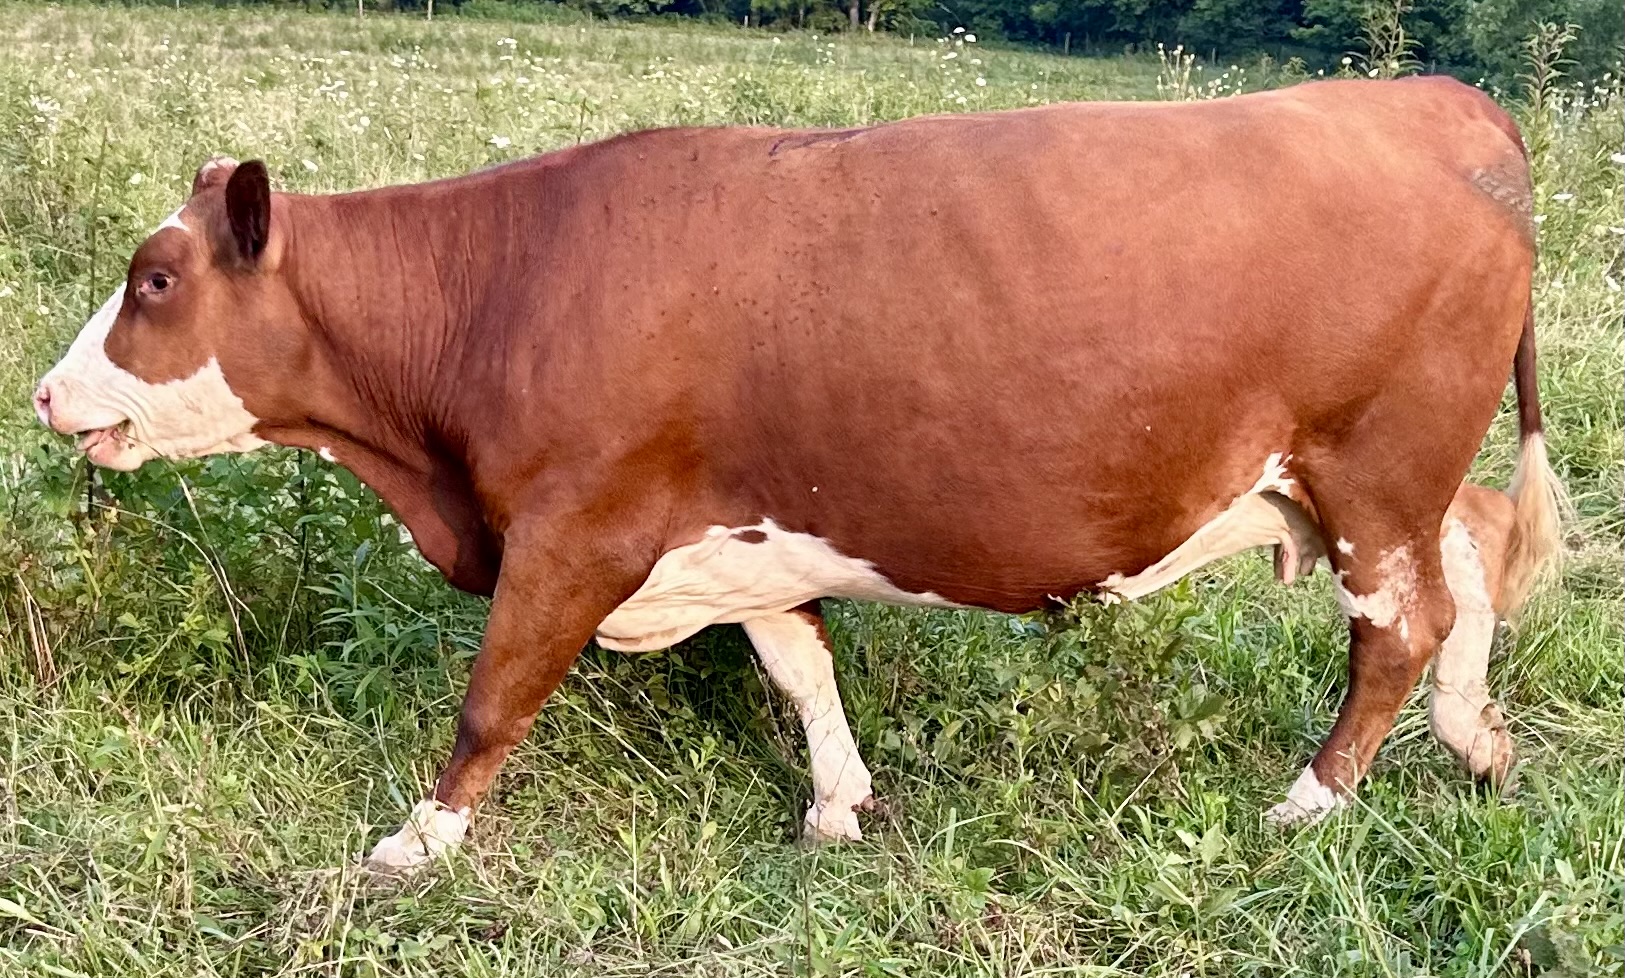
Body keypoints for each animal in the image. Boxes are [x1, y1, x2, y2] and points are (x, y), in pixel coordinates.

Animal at [33, 76, 1565, 873]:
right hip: (1386, 474)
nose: (45, 392)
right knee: (1475, 548)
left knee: (1397, 623)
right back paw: (1473, 737)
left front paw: (420, 839)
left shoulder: (572, 530)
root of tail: (1428, 100)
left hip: (1370, 459)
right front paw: (836, 801)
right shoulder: (740, 530)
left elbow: (491, 699)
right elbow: (797, 661)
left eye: (153, 280)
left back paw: (1313, 797)